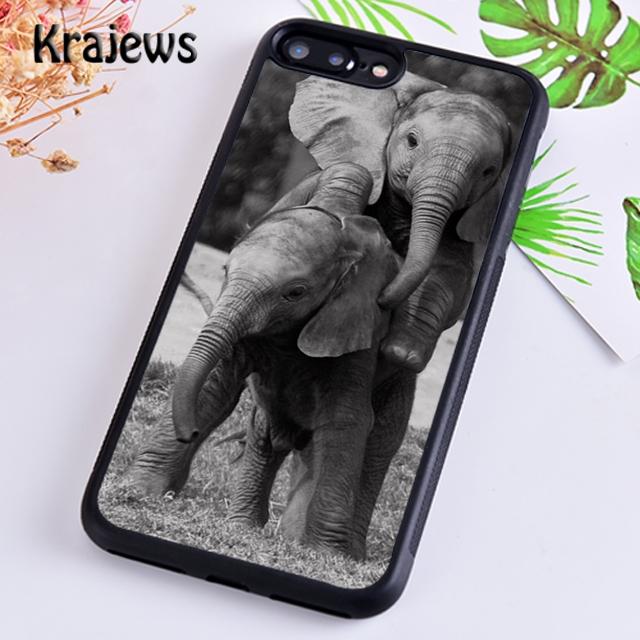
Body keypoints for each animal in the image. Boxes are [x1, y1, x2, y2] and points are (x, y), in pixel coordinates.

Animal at [125, 162, 416, 559]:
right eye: (225, 271)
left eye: (295, 292)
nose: (192, 433)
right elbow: (215, 385)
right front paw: (140, 491)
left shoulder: (358, 320)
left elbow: (345, 419)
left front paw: (324, 554)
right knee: (267, 431)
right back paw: (250, 527)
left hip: (400, 381)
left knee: (377, 446)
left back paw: (336, 549)